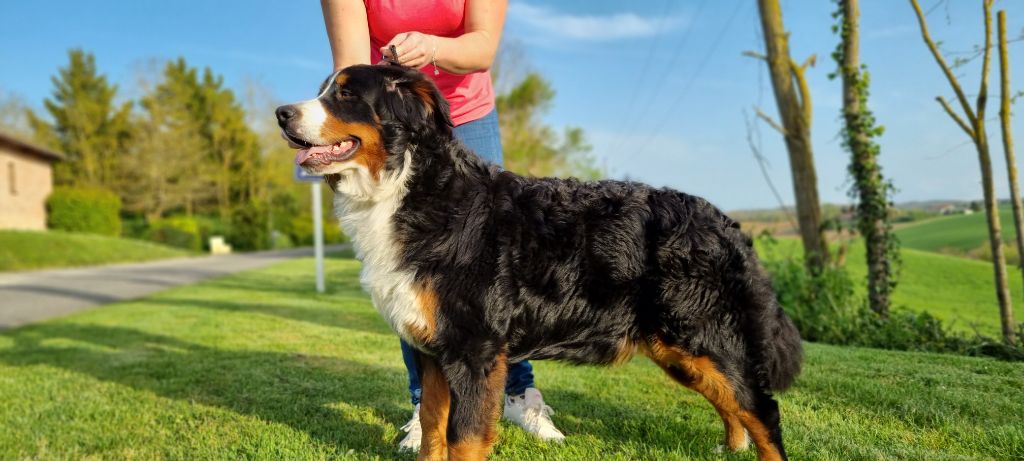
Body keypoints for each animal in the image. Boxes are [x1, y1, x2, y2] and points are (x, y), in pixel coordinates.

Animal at [276, 64, 802, 461]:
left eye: (344, 93)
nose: (281, 113)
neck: (409, 187)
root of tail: (725, 221)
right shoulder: (433, 348)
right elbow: (431, 425)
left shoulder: (474, 350)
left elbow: (463, 438)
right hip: (679, 351)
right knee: (735, 407)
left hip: (703, 338)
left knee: (761, 410)